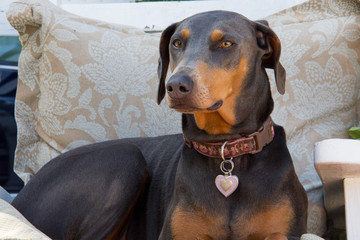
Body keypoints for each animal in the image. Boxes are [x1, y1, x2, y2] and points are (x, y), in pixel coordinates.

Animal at [12, 10, 308, 239]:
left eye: (226, 43)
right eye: (177, 43)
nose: (176, 86)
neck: (228, 152)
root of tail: (19, 199)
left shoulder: (285, 232)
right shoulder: (178, 234)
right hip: (125, 159)